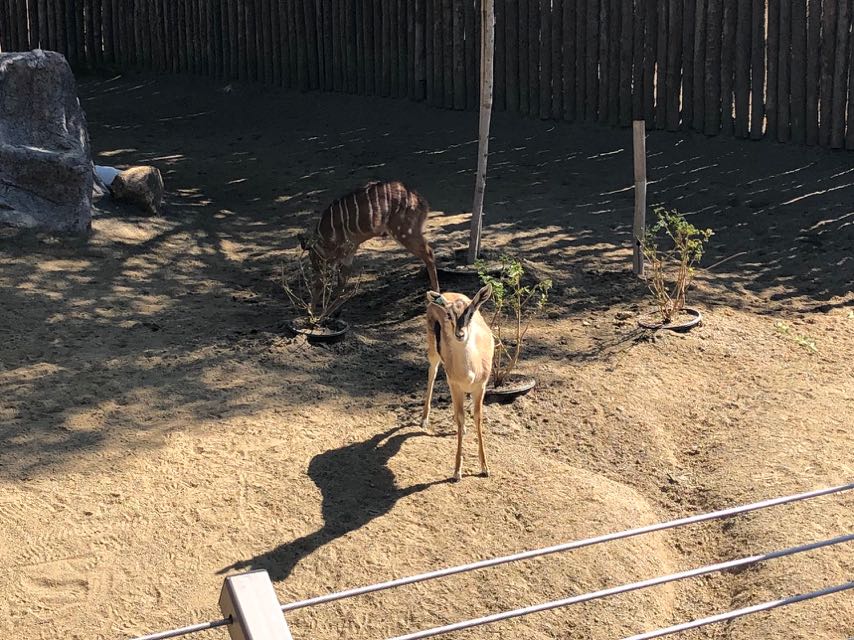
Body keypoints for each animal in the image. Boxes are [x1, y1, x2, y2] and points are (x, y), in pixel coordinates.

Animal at [300, 180, 442, 310]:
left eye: (315, 261)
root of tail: (421, 202)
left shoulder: (336, 255)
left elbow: (323, 283)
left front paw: (315, 312)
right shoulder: (349, 251)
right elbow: (342, 280)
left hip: (404, 232)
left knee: (429, 253)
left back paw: (436, 294)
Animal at [422, 284, 494, 480]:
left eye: (471, 311)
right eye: (449, 314)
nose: (460, 334)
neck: (470, 370)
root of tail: (446, 293)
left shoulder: (480, 387)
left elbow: (478, 418)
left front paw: (485, 468)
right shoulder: (455, 385)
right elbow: (461, 417)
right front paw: (456, 471)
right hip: (433, 354)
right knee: (432, 372)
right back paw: (424, 420)